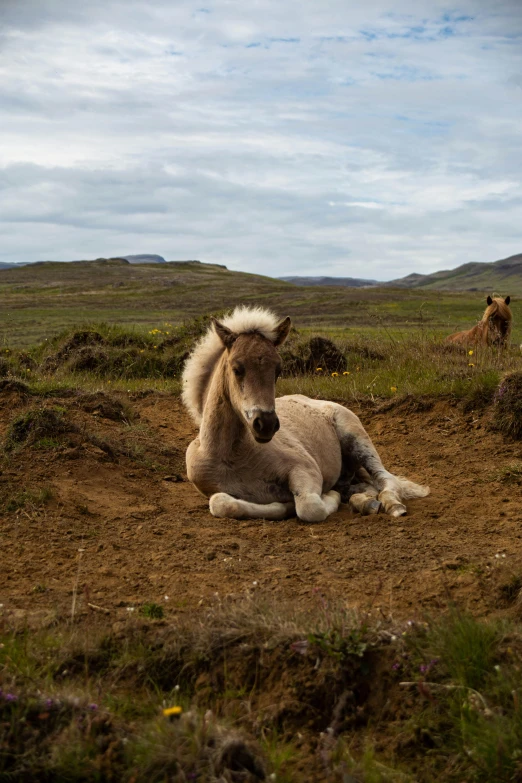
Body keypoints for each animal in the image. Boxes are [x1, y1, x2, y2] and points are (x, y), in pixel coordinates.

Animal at [182, 306, 426, 520]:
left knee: (386, 480)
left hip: (358, 440)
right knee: (364, 486)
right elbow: (222, 503)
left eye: (278, 370)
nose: (266, 424)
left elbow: (310, 507)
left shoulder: (305, 468)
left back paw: (392, 505)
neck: (230, 456)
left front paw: (326, 498)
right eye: (237, 369)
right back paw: (363, 502)